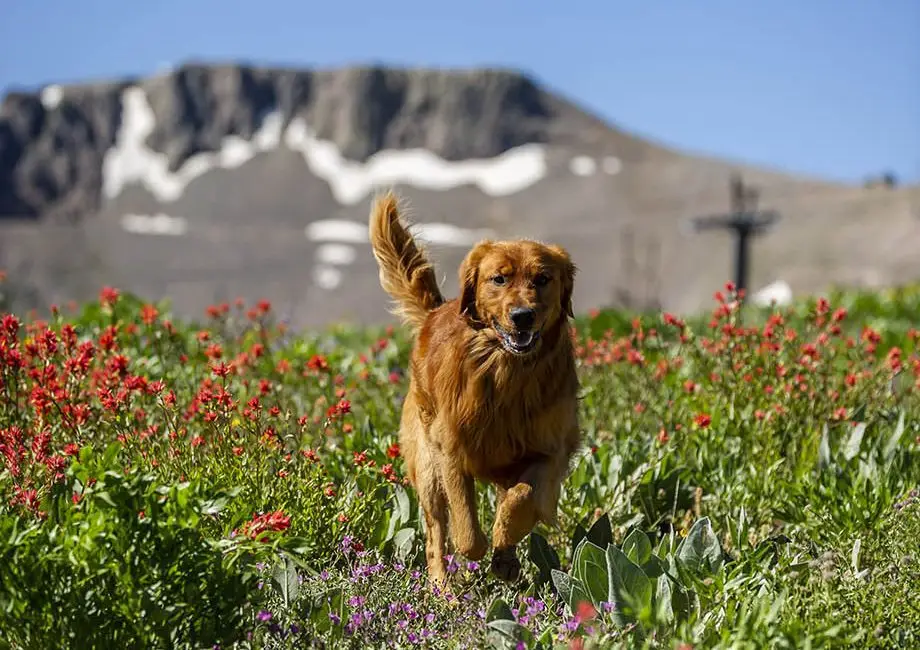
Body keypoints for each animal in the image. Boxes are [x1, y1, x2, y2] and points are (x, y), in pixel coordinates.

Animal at [368, 190, 580, 584]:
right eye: (499, 279)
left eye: (543, 278)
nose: (523, 316)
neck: (506, 373)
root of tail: (434, 312)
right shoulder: (450, 449)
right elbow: (466, 534)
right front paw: (481, 547)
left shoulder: (551, 450)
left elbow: (524, 498)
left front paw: (506, 542)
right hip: (427, 467)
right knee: (436, 532)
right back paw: (443, 588)